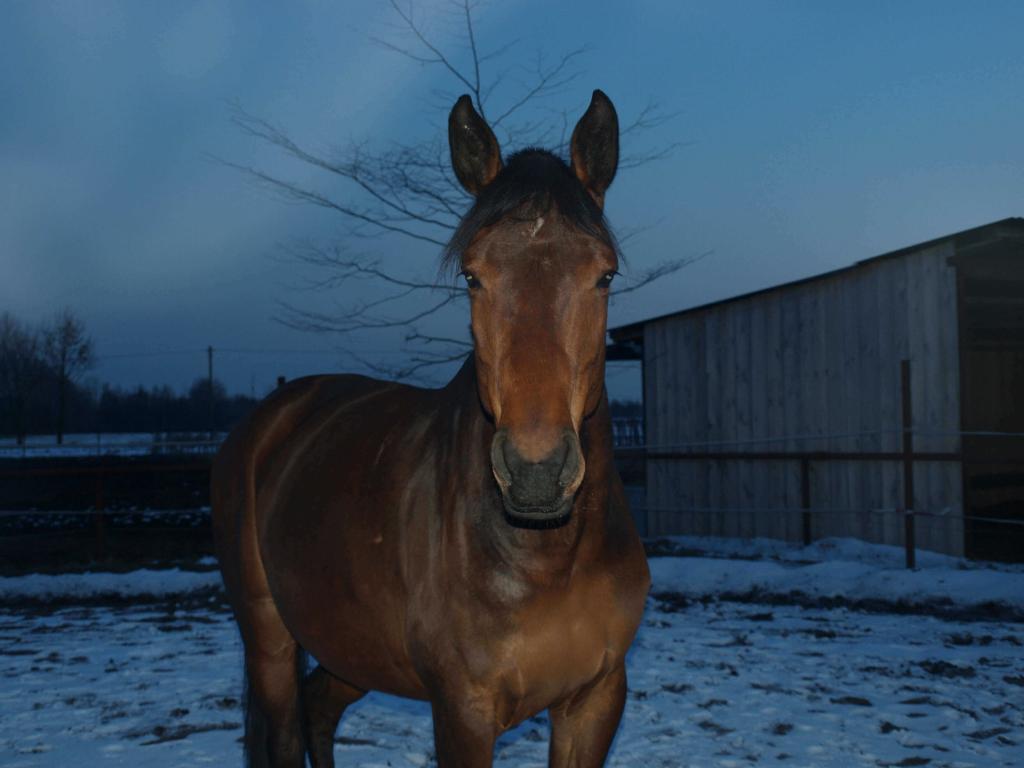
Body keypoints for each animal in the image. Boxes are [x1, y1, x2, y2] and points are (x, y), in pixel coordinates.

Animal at [211, 91, 651, 768]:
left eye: (604, 275)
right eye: (472, 275)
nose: (536, 472)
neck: (546, 559)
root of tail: (268, 420)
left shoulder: (596, 700)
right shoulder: (462, 711)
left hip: (350, 648)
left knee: (319, 709)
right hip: (269, 638)